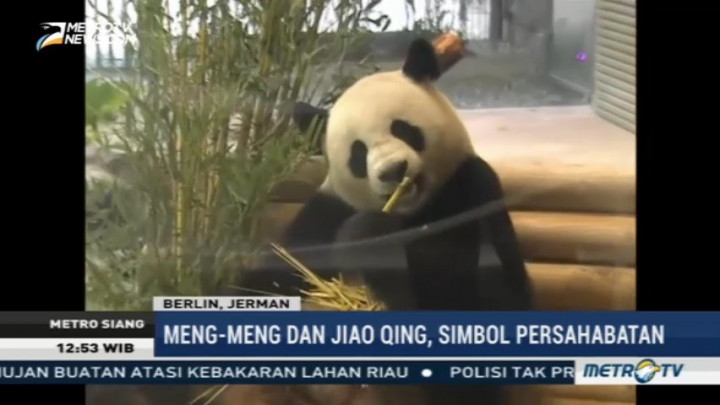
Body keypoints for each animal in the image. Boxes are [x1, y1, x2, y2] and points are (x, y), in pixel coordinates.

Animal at [236, 37, 534, 405]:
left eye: (403, 129)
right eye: (358, 153)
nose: (393, 170)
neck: (411, 212)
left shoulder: (474, 189)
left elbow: (499, 301)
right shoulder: (325, 215)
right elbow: (264, 285)